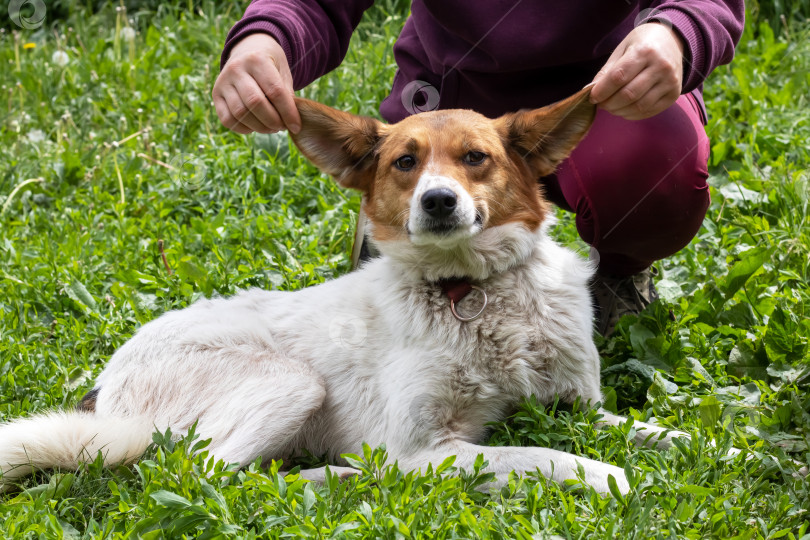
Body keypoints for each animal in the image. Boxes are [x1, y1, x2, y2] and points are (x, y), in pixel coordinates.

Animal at [0, 88, 688, 494]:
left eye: (476, 157)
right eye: (405, 163)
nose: (438, 202)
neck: (471, 289)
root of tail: (104, 391)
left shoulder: (577, 406)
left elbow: (649, 428)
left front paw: (702, 441)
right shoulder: (418, 448)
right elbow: (538, 455)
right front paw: (604, 474)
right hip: (292, 381)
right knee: (208, 476)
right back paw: (337, 476)